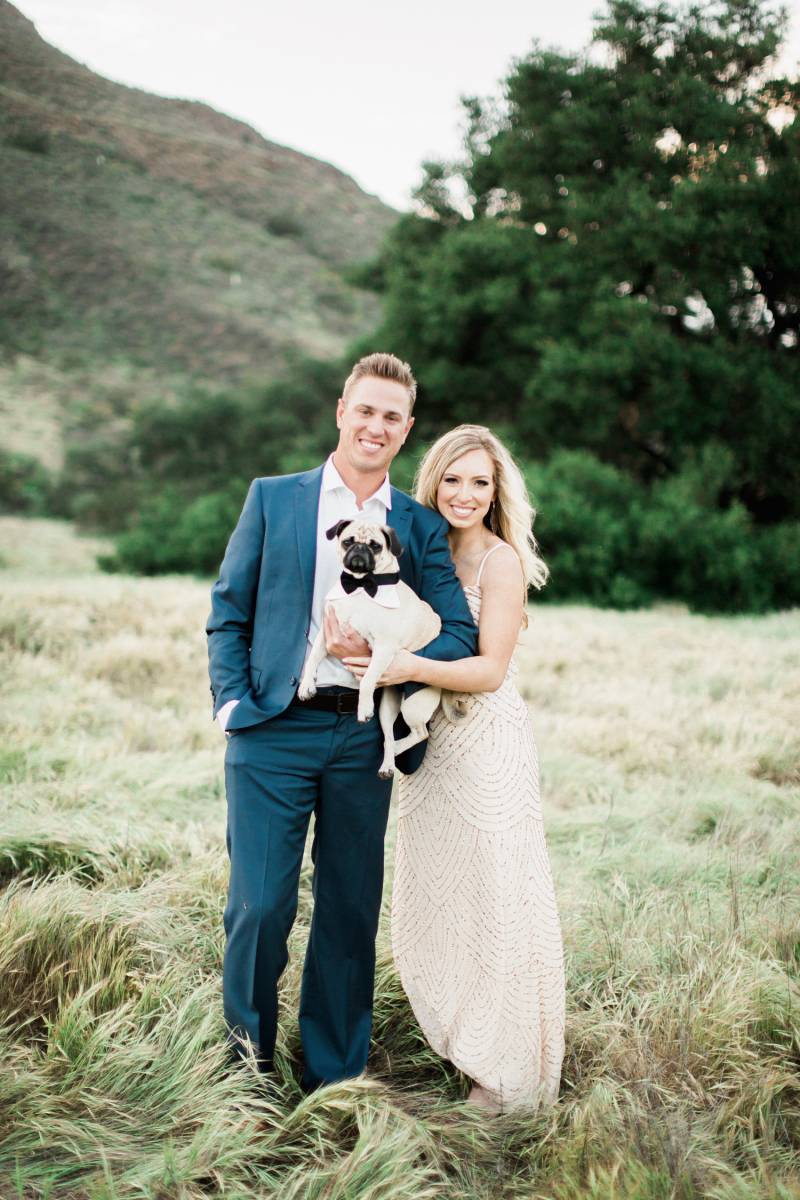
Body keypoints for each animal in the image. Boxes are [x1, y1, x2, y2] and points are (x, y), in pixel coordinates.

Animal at [297, 516, 453, 777]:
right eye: (348, 541)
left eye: (375, 546)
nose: (359, 549)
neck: (360, 586)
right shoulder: (326, 635)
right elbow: (313, 659)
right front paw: (306, 685)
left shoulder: (383, 648)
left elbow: (368, 679)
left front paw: (362, 707)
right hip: (387, 707)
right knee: (388, 736)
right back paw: (388, 763)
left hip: (413, 705)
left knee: (420, 733)